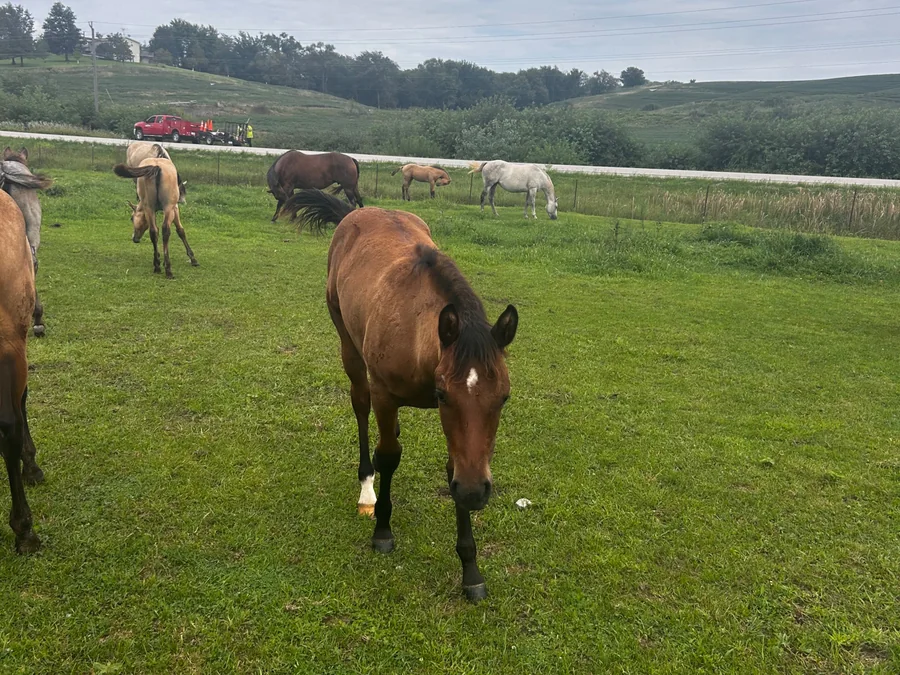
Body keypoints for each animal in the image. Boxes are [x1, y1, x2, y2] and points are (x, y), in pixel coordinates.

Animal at [281, 188, 518, 603]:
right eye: (442, 395)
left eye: (503, 397)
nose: (476, 493)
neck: (419, 332)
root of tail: (354, 213)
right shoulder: (385, 394)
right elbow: (389, 455)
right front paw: (382, 530)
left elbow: (453, 467)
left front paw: (470, 569)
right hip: (348, 346)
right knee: (361, 408)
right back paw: (367, 490)